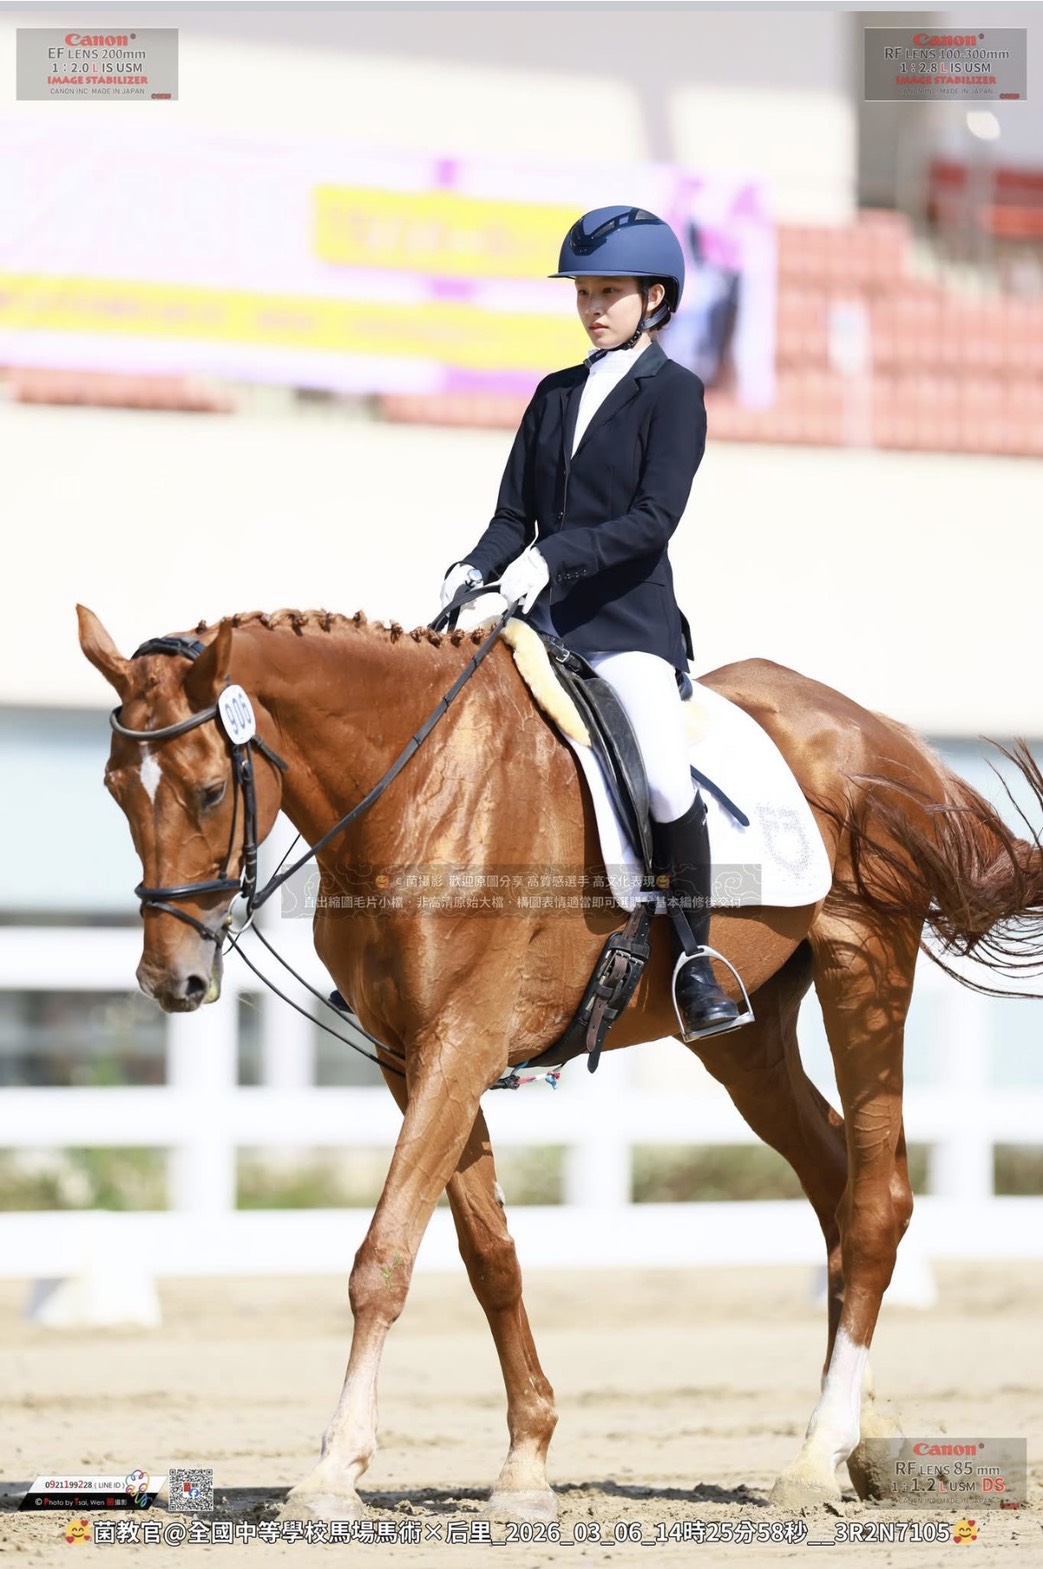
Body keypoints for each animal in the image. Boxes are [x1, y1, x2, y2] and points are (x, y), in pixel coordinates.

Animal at [76, 602, 1043, 1521]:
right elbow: (488, 1255)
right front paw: (526, 1461)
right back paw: (861, 1435)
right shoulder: (413, 1057)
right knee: (834, 1182)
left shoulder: (460, 1043)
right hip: (748, 1035)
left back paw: (815, 1455)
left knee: (876, 1202)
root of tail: (883, 732)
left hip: (862, 964)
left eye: (209, 791)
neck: (419, 788)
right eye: (117, 788)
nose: (171, 979)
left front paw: (333, 1469)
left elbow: (383, 1257)